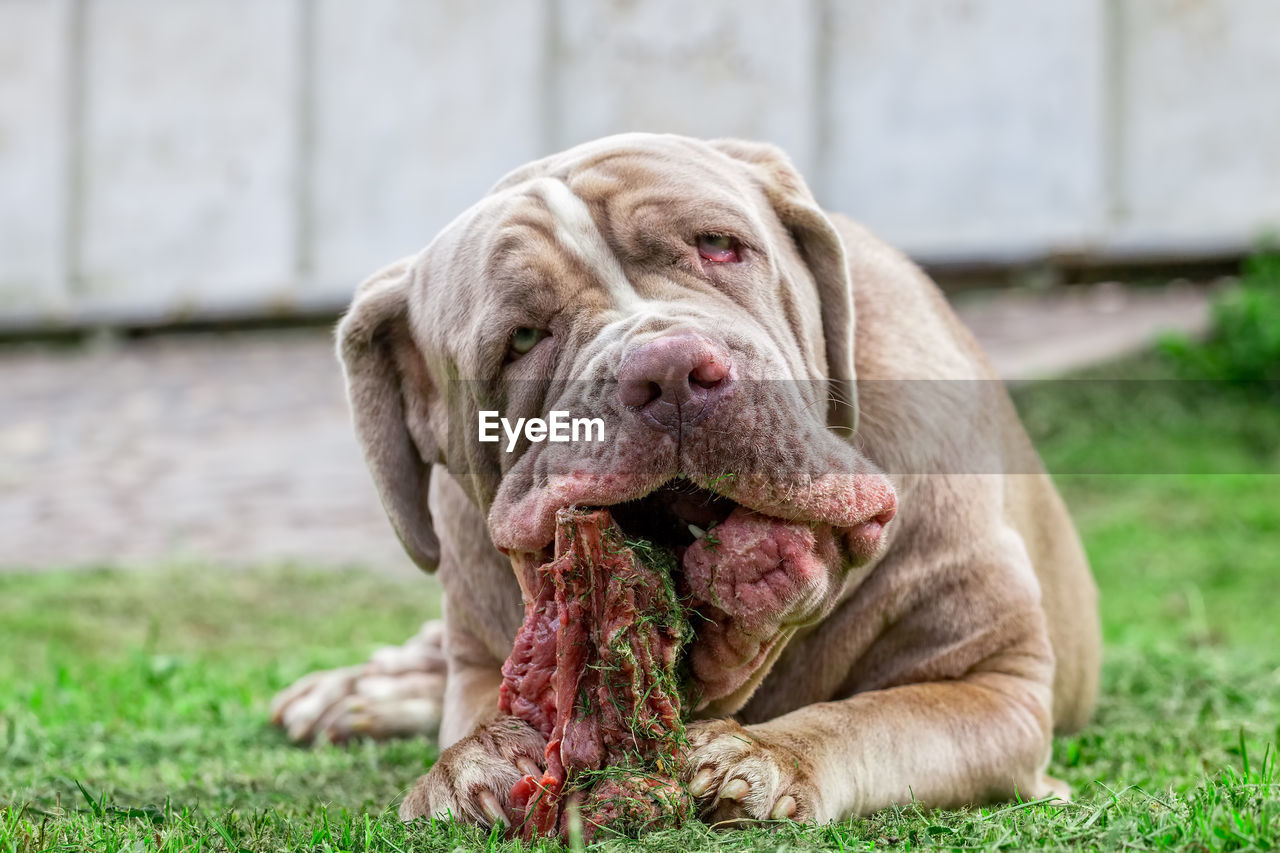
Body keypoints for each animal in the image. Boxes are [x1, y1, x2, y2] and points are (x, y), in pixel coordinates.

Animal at [270, 133, 1100, 824]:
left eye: (720, 246)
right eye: (522, 338)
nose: (667, 368)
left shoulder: (996, 684)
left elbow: (874, 717)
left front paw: (762, 756)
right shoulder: (482, 648)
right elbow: (480, 705)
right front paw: (476, 758)